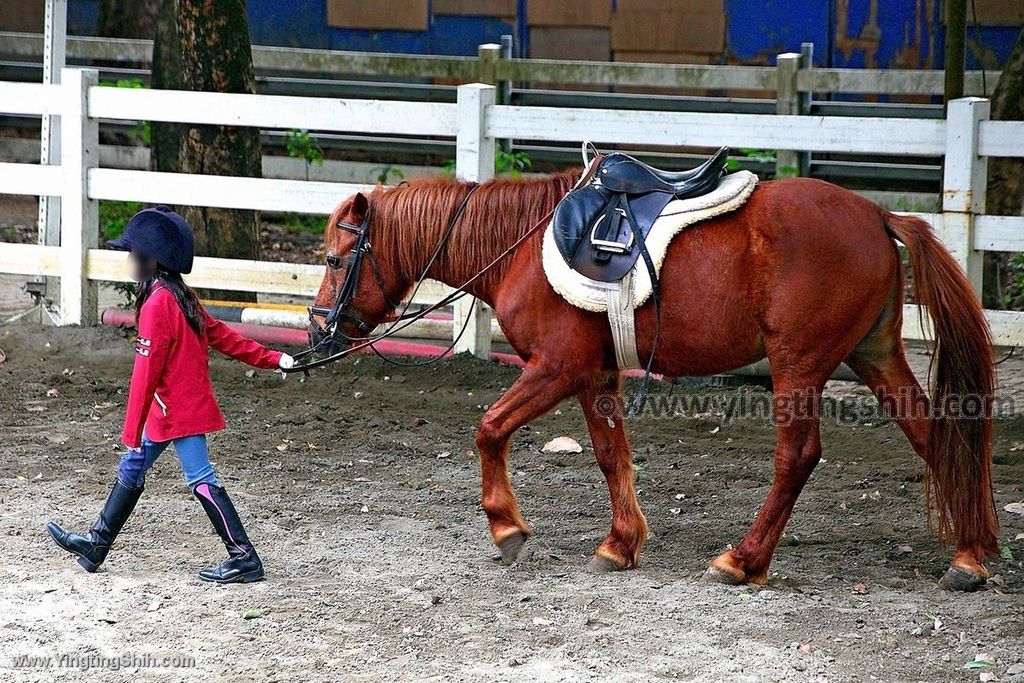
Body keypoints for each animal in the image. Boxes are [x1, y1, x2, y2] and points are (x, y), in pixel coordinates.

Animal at [307, 171, 995, 593]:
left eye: (337, 258)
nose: (318, 331)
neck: (519, 246)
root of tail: (877, 213)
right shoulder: (594, 375)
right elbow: (611, 455)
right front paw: (620, 544)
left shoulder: (555, 368)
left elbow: (489, 428)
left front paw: (507, 529)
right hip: (874, 355)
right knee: (935, 436)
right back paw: (968, 555)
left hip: (798, 365)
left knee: (798, 456)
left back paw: (743, 560)